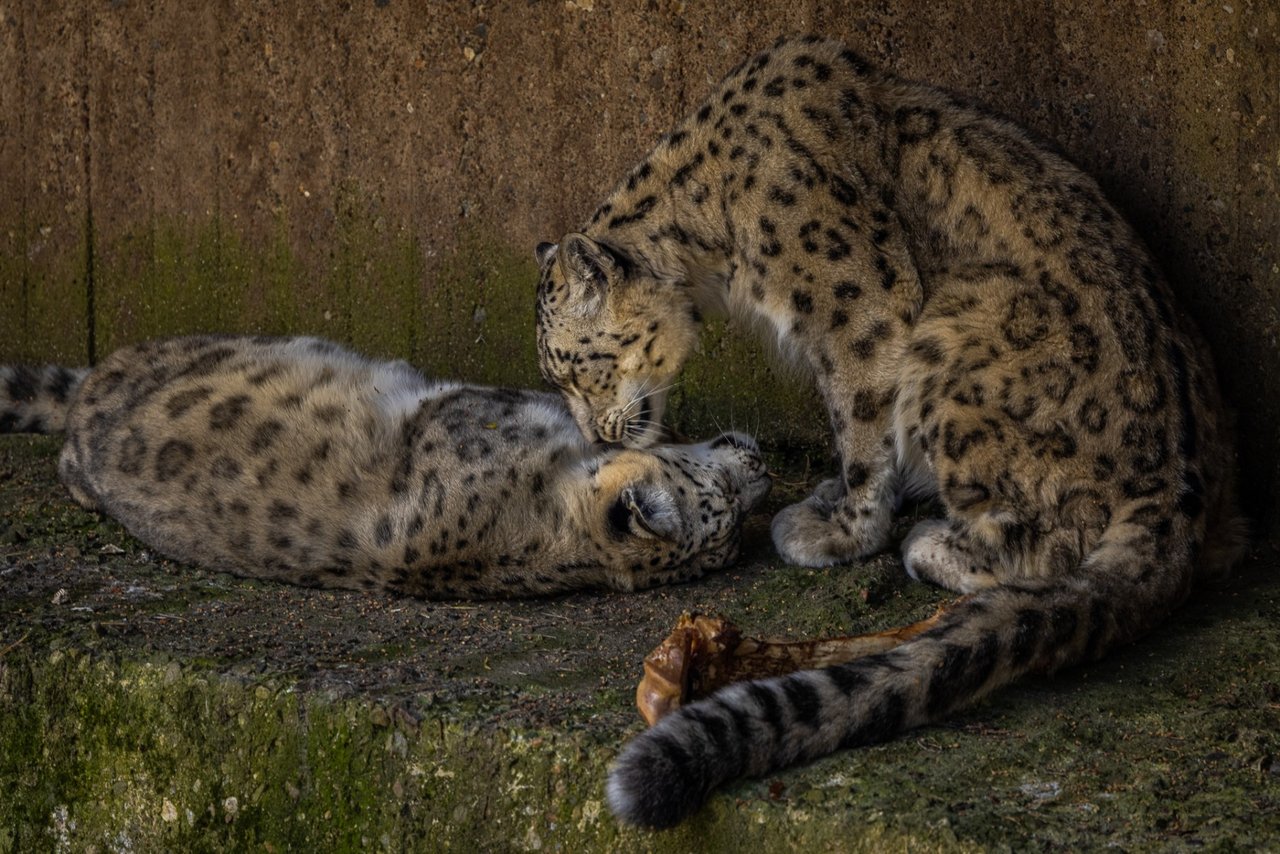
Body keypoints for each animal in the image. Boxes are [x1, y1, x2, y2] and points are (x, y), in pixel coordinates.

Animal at [535, 35, 1244, 829]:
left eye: (573, 368)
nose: (598, 436)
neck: (717, 232)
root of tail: (1183, 482)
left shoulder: (858, 310)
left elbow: (859, 420)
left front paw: (842, 527)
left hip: (957, 338)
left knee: (1055, 541)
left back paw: (935, 544)